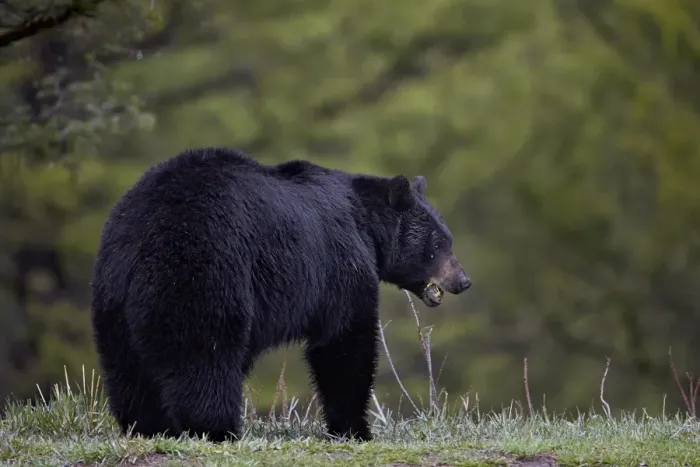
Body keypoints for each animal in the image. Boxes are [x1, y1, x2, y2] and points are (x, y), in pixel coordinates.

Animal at [90, 146, 471, 443]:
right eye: (439, 243)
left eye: (447, 238)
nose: (463, 280)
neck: (367, 229)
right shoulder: (340, 266)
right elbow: (345, 342)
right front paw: (353, 428)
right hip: (203, 270)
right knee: (205, 354)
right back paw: (217, 428)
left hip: (113, 295)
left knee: (126, 366)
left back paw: (147, 426)